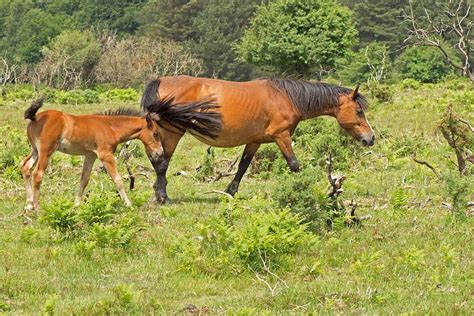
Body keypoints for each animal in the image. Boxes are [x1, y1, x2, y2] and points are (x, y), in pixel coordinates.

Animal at [21, 96, 221, 210]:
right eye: (156, 134)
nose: (160, 151)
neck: (109, 127)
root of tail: (36, 117)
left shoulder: (90, 155)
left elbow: (84, 179)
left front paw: (76, 204)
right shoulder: (105, 155)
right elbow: (118, 179)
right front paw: (129, 204)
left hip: (35, 150)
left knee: (25, 167)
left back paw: (28, 205)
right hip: (46, 151)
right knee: (37, 174)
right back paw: (37, 207)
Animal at [141, 75, 374, 202]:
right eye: (359, 111)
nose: (370, 138)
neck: (285, 97)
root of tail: (160, 80)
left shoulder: (254, 141)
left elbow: (243, 166)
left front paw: (230, 192)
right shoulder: (281, 136)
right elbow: (294, 164)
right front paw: (308, 189)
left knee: (157, 160)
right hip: (172, 131)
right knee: (162, 162)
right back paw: (163, 197)